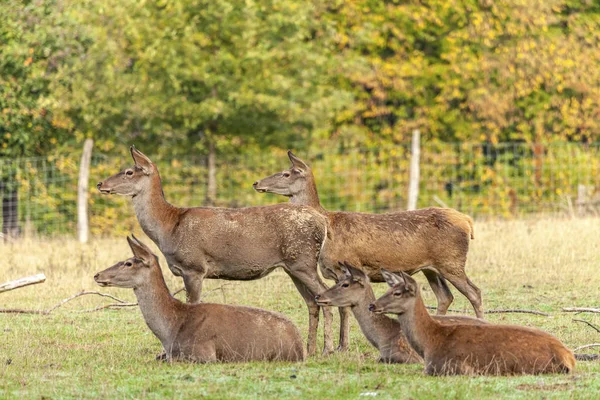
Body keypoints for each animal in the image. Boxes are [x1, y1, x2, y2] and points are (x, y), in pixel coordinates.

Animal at [253, 152, 482, 352]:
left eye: (287, 173)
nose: (257, 183)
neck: (327, 230)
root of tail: (467, 221)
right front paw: (340, 344)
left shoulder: (345, 265)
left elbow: (344, 306)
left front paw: (342, 346)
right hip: (431, 268)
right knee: (445, 296)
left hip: (452, 261)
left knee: (474, 292)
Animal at [368, 268, 576, 376]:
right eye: (388, 289)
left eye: (397, 293)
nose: (372, 305)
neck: (429, 343)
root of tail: (568, 356)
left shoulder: (451, 367)